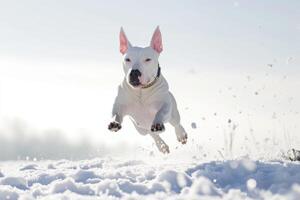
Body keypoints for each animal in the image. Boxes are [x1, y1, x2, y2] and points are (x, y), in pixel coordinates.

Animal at [108, 25, 188, 153]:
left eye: (148, 59)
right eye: (127, 59)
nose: (134, 72)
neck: (141, 91)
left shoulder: (165, 104)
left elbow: (161, 112)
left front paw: (158, 123)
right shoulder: (120, 103)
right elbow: (116, 113)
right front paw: (114, 123)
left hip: (174, 113)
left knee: (176, 123)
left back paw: (181, 135)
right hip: (140, 129)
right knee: (151, 133)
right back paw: (162, 145)